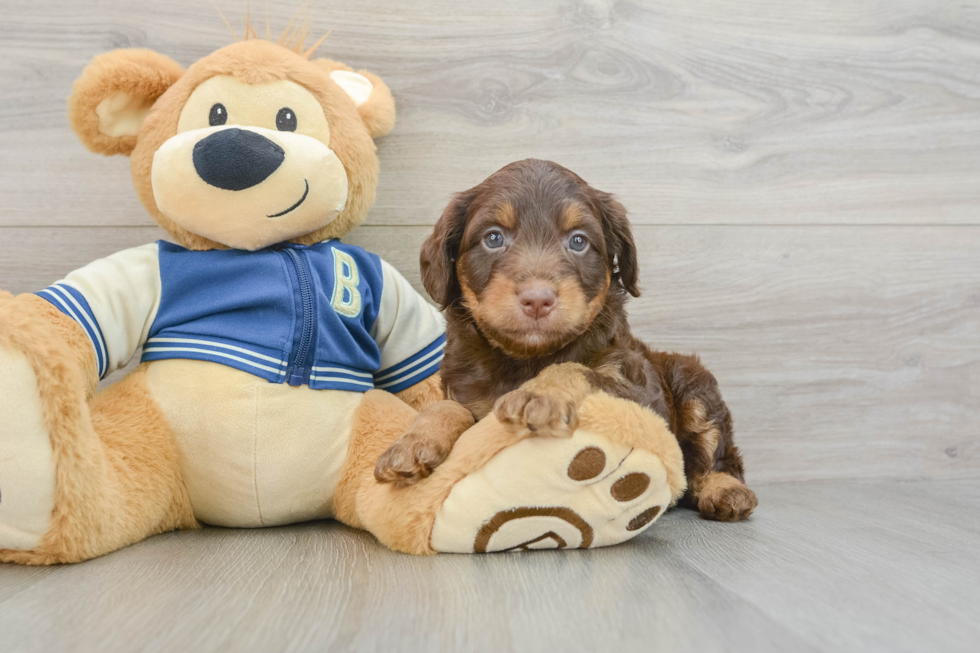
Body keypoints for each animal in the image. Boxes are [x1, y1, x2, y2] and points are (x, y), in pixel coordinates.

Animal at [376, 160, 756, 524]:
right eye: (493, 238)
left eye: (578, 241)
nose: (537, 299)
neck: (527, 357)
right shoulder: (464, 391)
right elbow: (445, 407)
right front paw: (413, 443)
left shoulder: (644, 398)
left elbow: (574, 367)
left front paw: (539, 395)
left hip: (693, 382)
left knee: (717, 454)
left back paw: (726, 491)